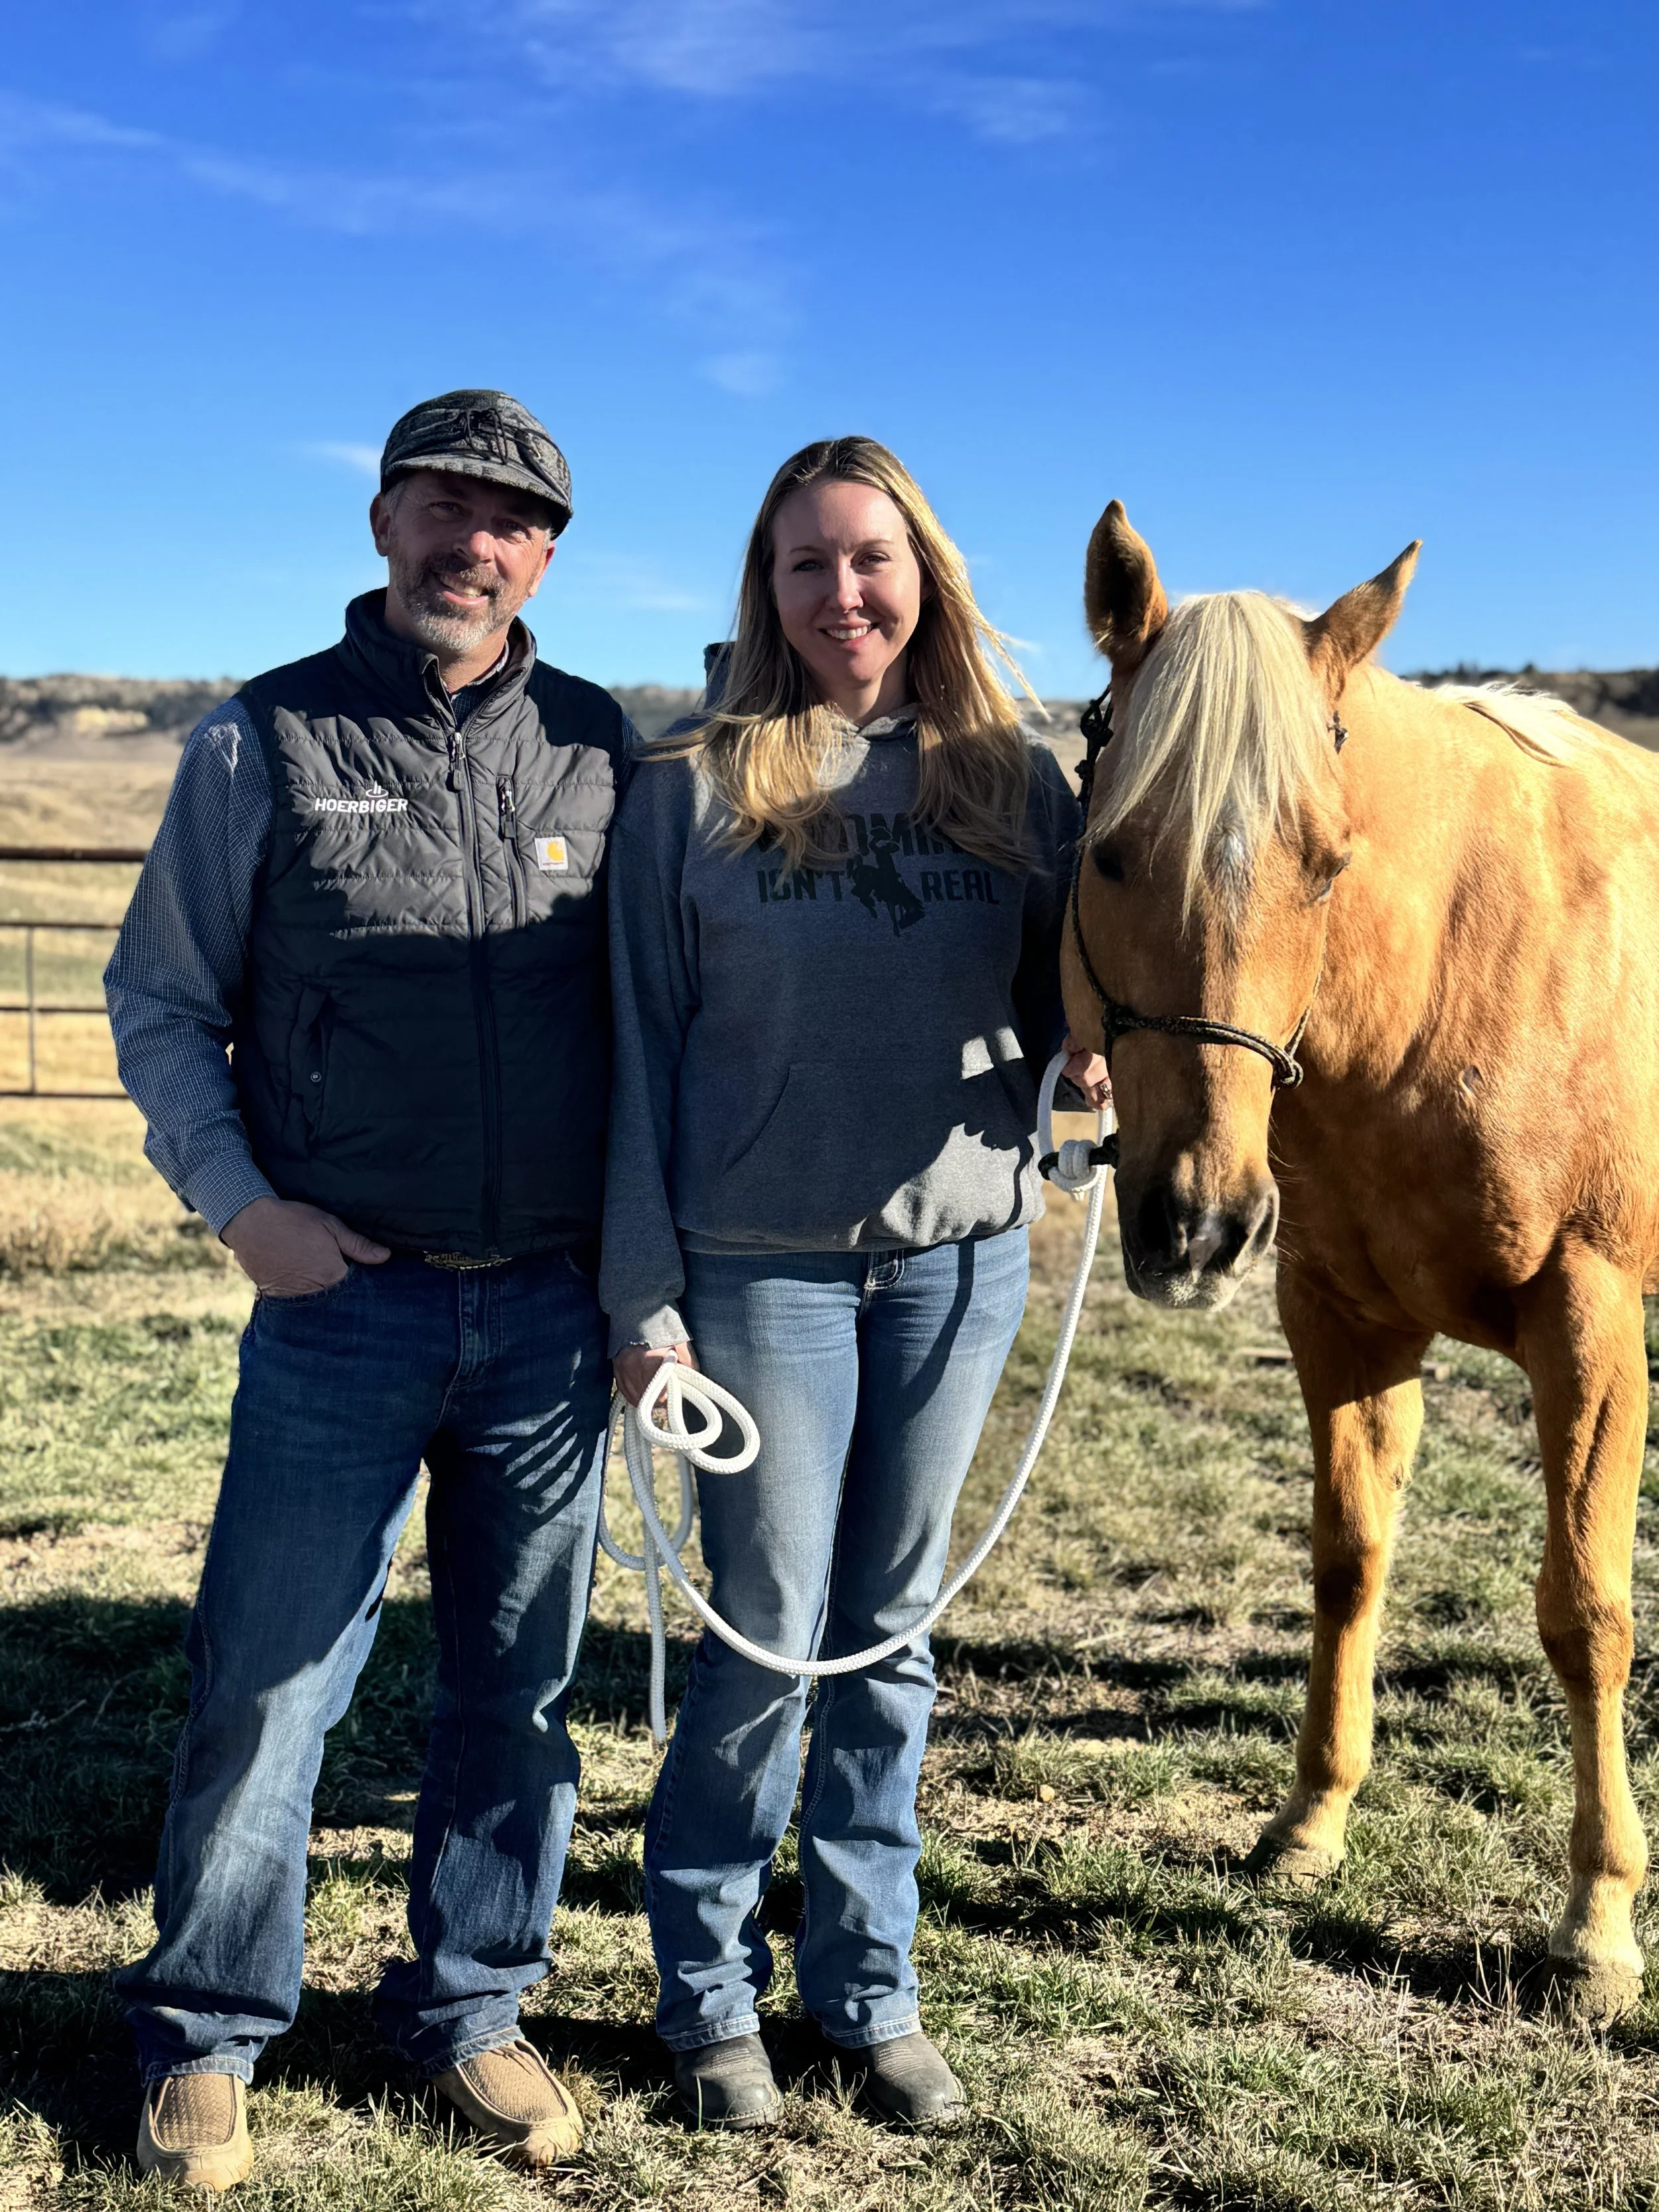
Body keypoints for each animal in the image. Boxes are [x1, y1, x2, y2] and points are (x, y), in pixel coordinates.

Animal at [1063, 502, 1659, 2021]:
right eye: (1110, 851)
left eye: (1325, 864)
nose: (1193, 1221)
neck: (1446, 977)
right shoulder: (1339, 1319)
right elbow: (1348, 1559)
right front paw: (1308, 1820)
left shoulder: (1589, 1325)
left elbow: (1586, 1608)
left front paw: (1597, 1922)